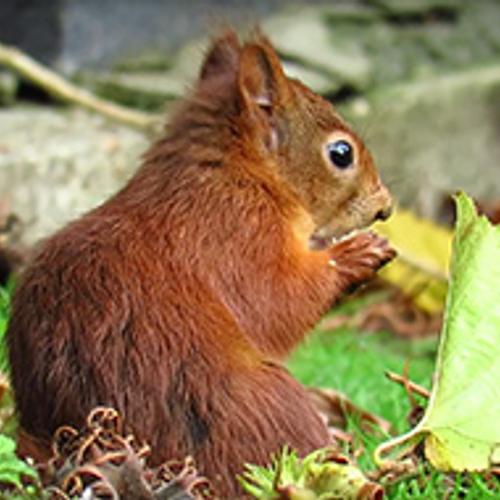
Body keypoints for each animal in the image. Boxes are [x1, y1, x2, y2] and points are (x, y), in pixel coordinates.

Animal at [4, 30, 394, 496]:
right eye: (341, 153)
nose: (386, 207)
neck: (236, 176)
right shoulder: (239, 238)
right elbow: (278, 303)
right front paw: (357, 254)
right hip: (264, 407)